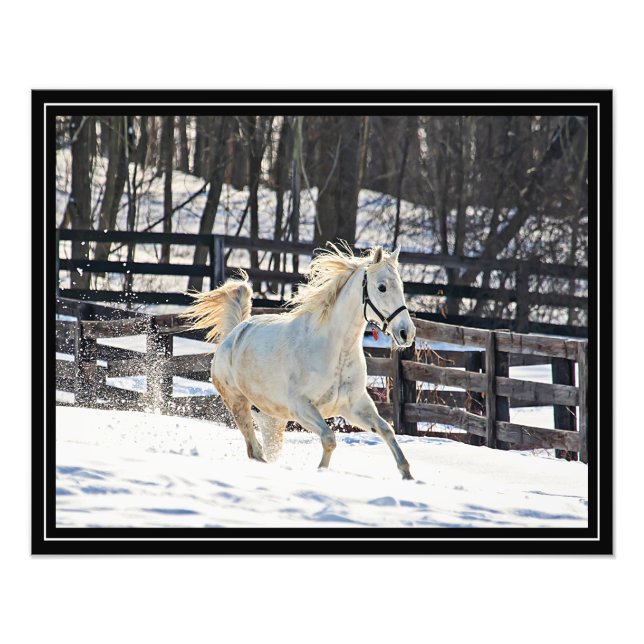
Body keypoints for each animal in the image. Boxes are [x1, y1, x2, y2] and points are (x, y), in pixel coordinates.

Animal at [181, 242, 417, 480]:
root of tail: (233, 334)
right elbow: (329, 439)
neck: (335, 351)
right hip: (238, 403)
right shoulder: (301, 408)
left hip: (272, 419)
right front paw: (320, 471)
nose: (407, 332)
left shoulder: (355, 406)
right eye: (382, 287)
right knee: (254, 449)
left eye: (401, 286)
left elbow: (387, 430)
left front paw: (408, 476)